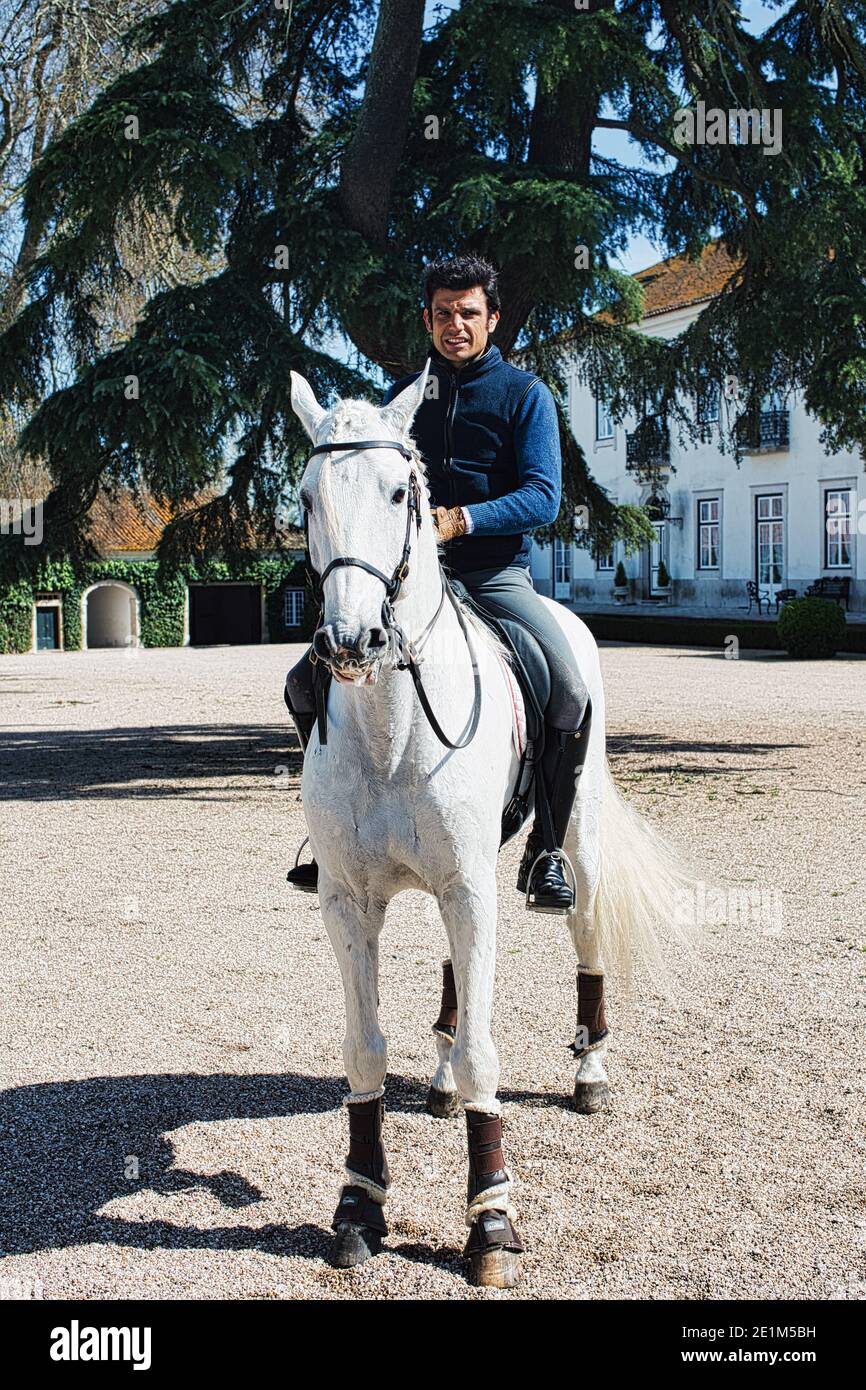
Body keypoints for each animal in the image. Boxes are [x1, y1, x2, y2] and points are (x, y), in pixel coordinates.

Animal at [287, 364, 695, 1284]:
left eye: (401, 491)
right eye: (305, 497)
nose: (351, 639)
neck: (392, 726)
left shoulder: (471, 888)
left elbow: (485, 1053)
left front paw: (490, 1219)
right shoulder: (349, 903)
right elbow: (365, 1049)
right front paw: (360, 1204)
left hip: (572, 839)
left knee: (586, 936)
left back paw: (590, 1072)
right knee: (452, 980)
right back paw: (438, 1080)